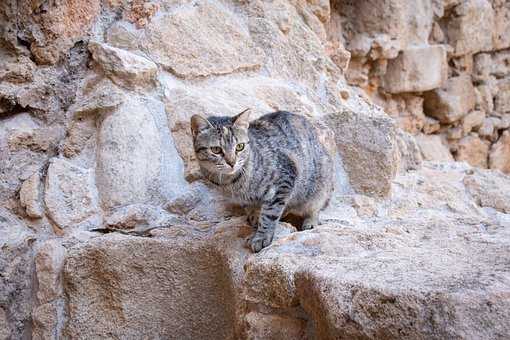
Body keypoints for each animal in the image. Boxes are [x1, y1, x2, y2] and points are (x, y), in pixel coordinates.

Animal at [191, 109, 334, 252]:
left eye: (240, 147)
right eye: (216, 149)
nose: (232, 163)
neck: (232, 182)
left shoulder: (283, 179)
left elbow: (269, 214)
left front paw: (262, 237)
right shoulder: (244, 199)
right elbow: (251, 207)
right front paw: (255, 216)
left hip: (320, 185)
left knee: (315, 207)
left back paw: (310, 221)